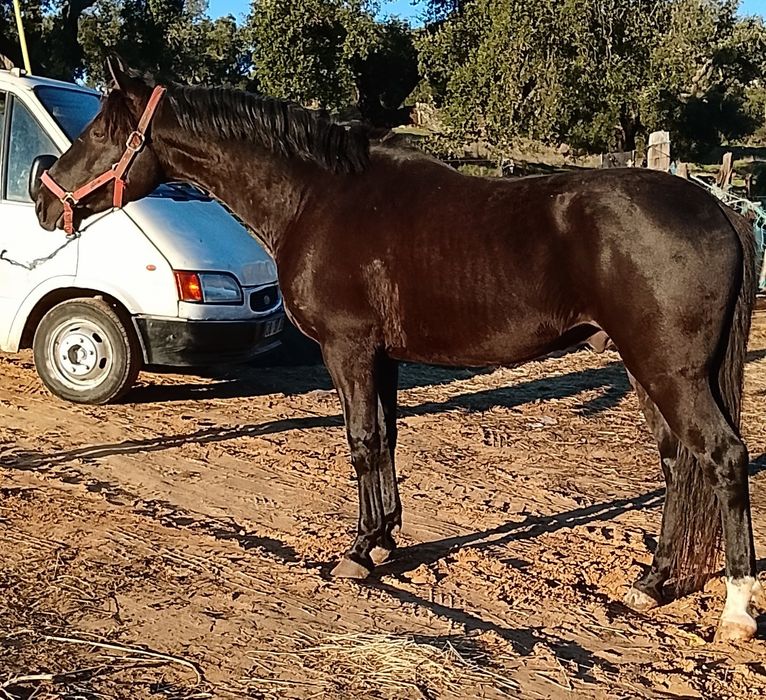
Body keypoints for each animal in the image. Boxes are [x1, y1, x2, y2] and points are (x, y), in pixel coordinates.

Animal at [36, 56, 764, 642]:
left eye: (99, 131)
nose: (46, 205)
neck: (317, 197)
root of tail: (723, 209)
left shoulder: (348, 349)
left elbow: (361, 441)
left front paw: (358, 552)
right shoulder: (381, 355)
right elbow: (385, 438)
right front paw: (385, 540)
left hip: (669, 372)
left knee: (722, 458)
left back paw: (735, 610)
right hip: (649, 373)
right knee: (680, 465)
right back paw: (654, 582)